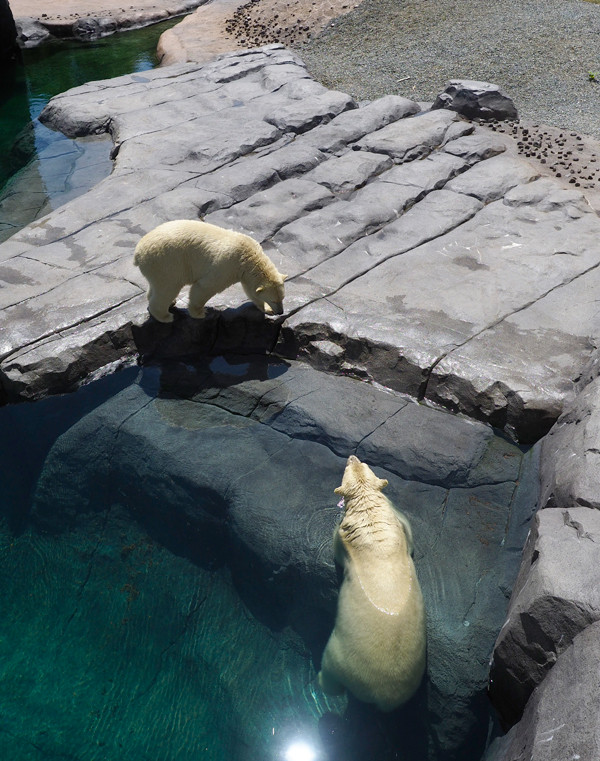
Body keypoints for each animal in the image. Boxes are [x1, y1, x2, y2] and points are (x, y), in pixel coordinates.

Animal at [134, 221, 288, 326]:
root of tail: (138, 253)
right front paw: (200, 313)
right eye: (275, 300)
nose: (280, 311)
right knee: (168, 288)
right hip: (167, 262)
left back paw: (170, 302)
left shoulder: (244, 272)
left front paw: (266, 309)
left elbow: (251, 291)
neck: (248, 256)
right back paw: (166, 316)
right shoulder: (228, 265)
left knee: (157, 286)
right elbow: (205, 287)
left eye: (282, 298)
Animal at [318, 454, 426, 708]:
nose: (352, 456)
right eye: (363, 463)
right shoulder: (400, 529)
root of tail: (384, 696)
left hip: (341, 656)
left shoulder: (343, 539)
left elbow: (335, 544)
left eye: (352, 465)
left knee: (330, 673)